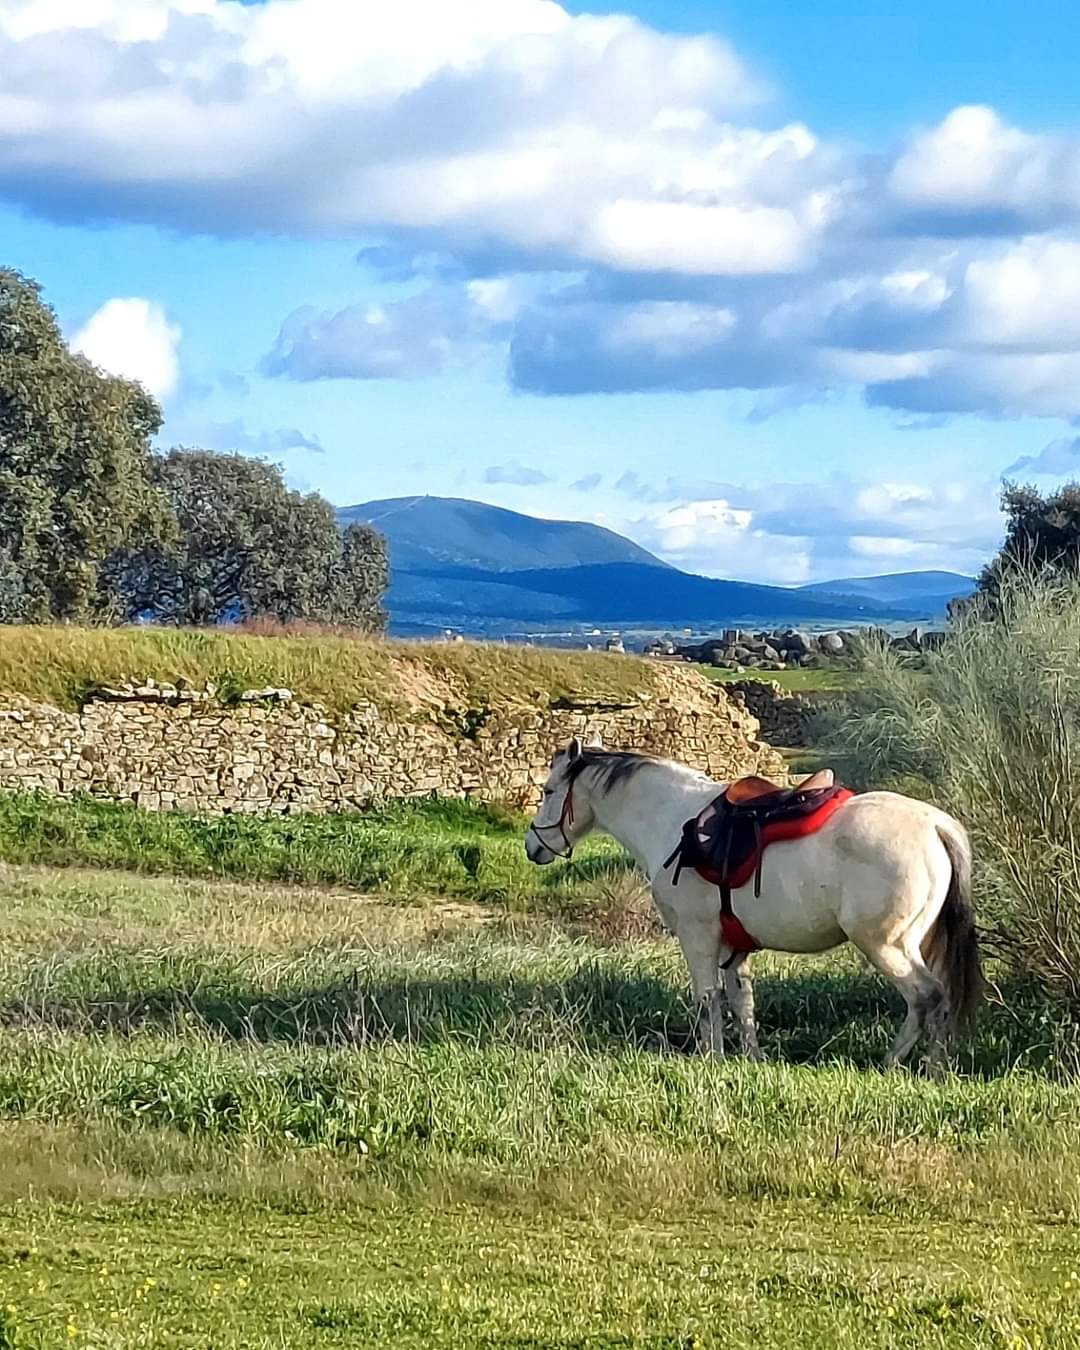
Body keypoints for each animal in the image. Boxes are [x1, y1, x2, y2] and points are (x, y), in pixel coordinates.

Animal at [524, 737, 983, 1066]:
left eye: (548, 791)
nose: (533, 847)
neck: (671, 820)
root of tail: (935, 825)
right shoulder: (734, 947)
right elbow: (741, 1000)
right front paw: (751, 1058)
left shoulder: (697, 937)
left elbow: (707, 999)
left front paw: (710, 1057)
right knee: (935, 1000)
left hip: (887, 946)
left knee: (927, 997)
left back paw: (904, 1064)